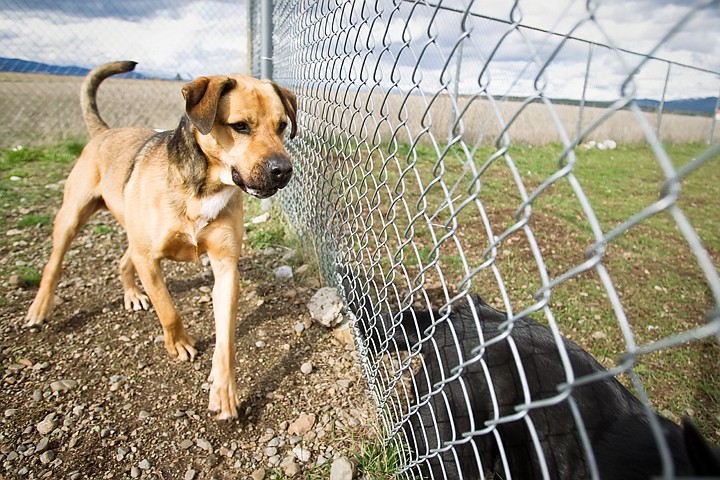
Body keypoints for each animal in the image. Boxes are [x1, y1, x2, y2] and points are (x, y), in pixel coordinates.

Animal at [25, 61, 296, 420]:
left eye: (282, 126)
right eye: (240, 126)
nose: (284, 170)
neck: (203, 187)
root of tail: (104, 132)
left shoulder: (226, 267)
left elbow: (226, 339)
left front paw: (224, 390)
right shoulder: (149, 259)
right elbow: (168, 309)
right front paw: (179, 343)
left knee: (122, 259)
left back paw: (131, 293)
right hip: (71, 218)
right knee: (54, 265)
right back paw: (40, 307)